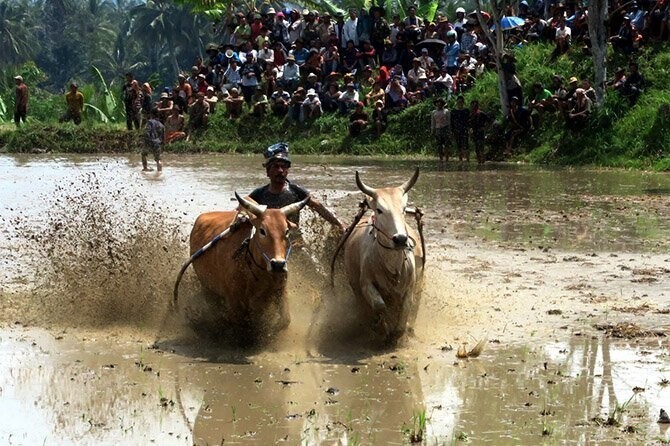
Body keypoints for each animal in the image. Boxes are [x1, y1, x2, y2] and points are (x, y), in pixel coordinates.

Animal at [189, 193, 310, 338]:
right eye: (262, 230)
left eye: (286, 231)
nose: (278, 265)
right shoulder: (234, 301)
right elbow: (243, 326)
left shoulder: (280, 291)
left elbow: (285, 320)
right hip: (207, 288)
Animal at [346, 169, 426, 344]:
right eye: (379, 210)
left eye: (404, 209)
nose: (400, 239)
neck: (392, 264)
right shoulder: (365, 284)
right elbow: (379, 305)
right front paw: (383, 328)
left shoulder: (411, 286)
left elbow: (407, 307)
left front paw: (398, 333)